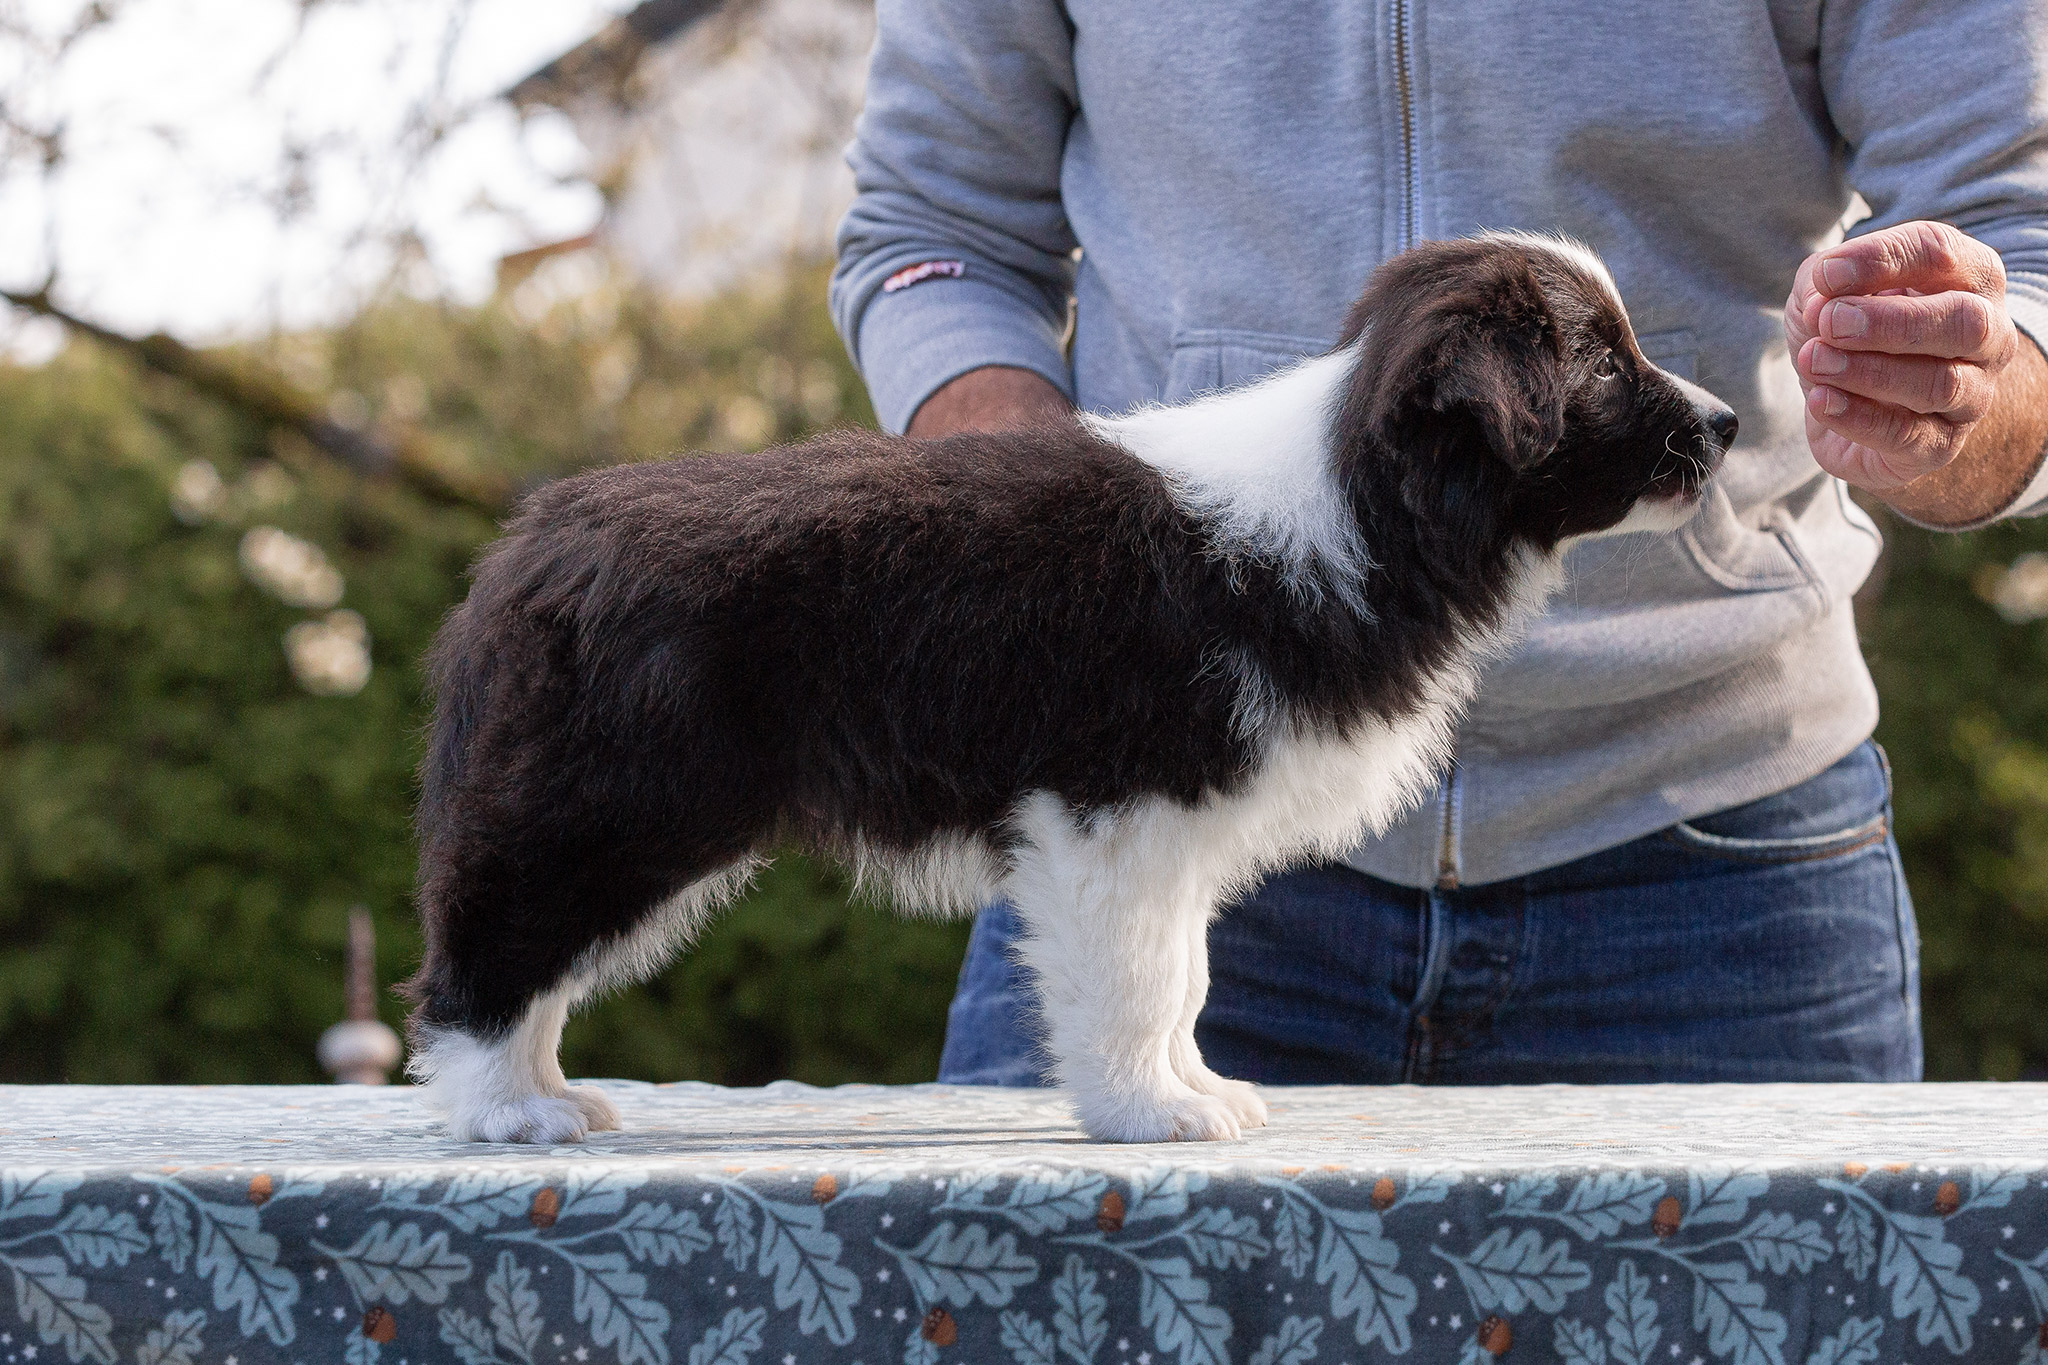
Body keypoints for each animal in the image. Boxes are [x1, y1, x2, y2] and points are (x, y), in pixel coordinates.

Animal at [407, 232, 1736, 1146]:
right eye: (1602, 363)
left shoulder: (1172, 826)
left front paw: (1195, 1087)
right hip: (615, 802)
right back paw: (510, 1109)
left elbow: (1185, 974)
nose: (1725, 424)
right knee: (494, 946)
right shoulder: (1119, 802)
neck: (1357, 498)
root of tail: (531, 545)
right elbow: (1142, 975)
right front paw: (1154, 1112)